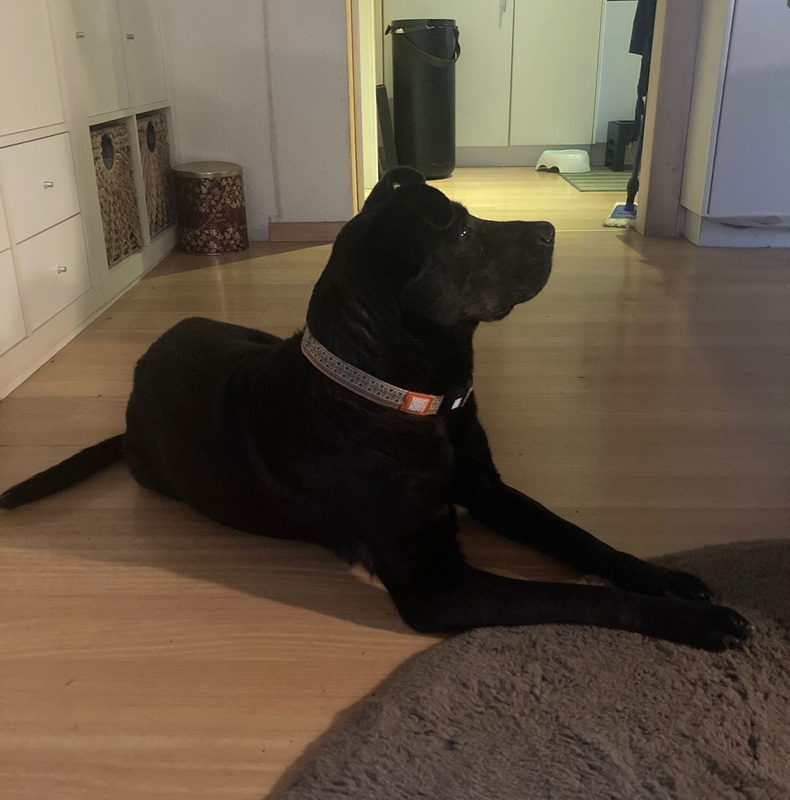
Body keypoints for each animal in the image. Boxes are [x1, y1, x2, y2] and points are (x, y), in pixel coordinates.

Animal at [1, 166, 751, 651]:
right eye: (462, 235)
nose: (548, 230)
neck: (401, 395)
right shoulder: (436, 582)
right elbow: (581, 593)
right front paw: (697, 623)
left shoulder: (488, 488)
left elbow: (579, 538)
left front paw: (666, 577)